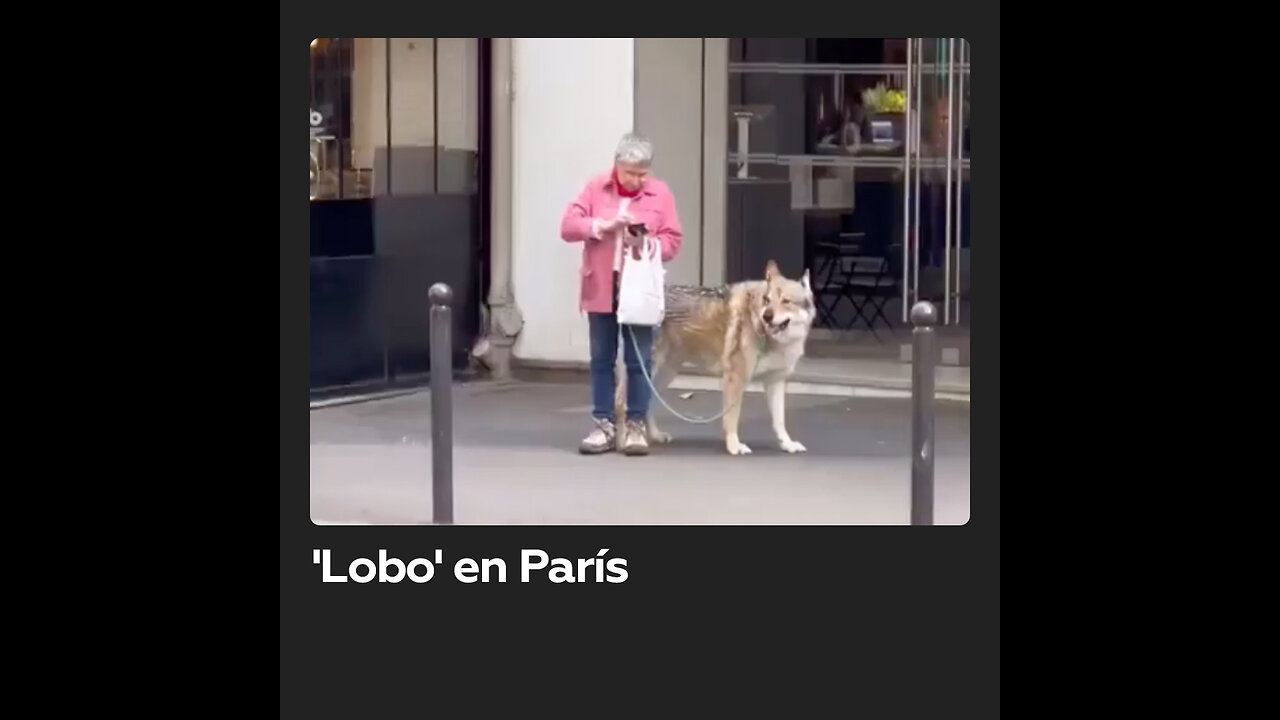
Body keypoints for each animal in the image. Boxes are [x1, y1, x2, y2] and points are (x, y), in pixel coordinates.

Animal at [614, 258, 814, 453]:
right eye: (767, 300)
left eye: (786, 301)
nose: (767, 316)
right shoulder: (735, 379)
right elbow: (732, 420)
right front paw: (734, 447)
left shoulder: (775, 382)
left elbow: (779, 421)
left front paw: (787, 444)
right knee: (621, 402)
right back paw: (624, 443)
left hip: (664, 375)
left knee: (645, 403)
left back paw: (654, 436)